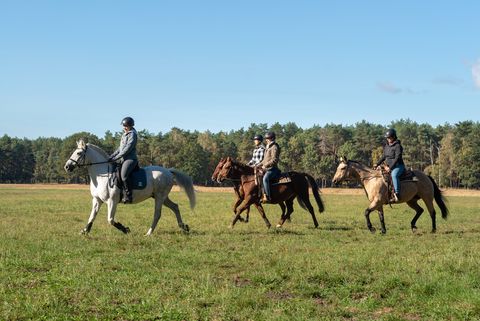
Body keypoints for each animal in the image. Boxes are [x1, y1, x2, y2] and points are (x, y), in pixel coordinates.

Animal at [63, 139, 195, 234]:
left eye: (79, 153)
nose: (67, 167)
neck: (102, 176)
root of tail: (168, 171)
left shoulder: (112, 201)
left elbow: (110, 220)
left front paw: (125, 229)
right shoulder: (97, 200)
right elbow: (92, 216)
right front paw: (85, 231)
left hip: (159, 197)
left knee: (157, 214)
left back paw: (149, 233)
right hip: (161, 197)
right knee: (175, 207)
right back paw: (184, 227)